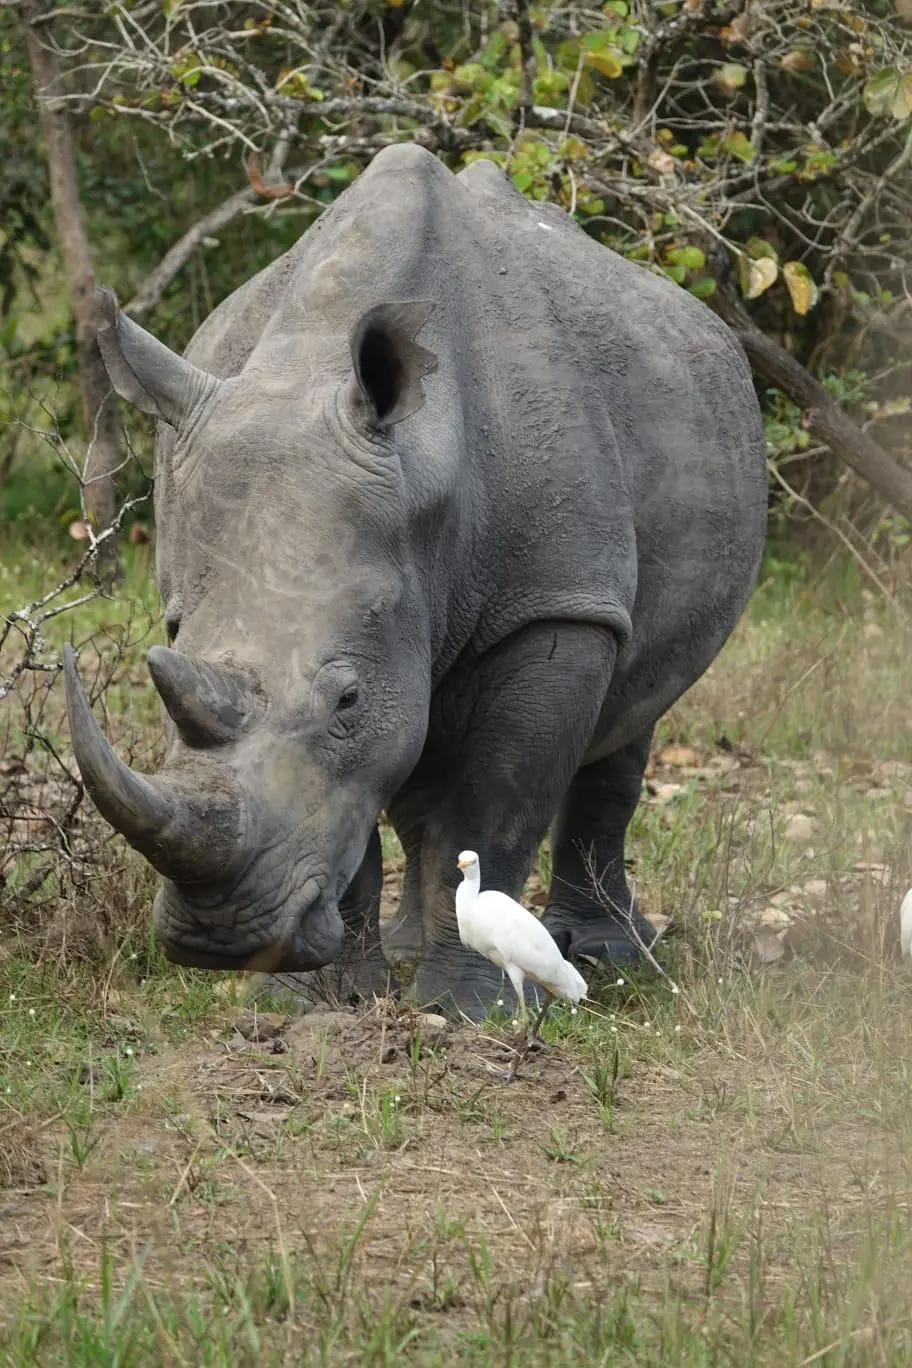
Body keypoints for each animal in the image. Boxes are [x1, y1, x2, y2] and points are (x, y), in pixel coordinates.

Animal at [64, 143, 767, 1018]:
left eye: (346, 699)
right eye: (167, 651)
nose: (217, 937)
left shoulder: (557, 606)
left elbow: (497, 801)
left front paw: (469, 1011)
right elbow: (367, 795)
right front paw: (318, 1002)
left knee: (632, 712)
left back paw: (609, 956)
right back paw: (409, 947)